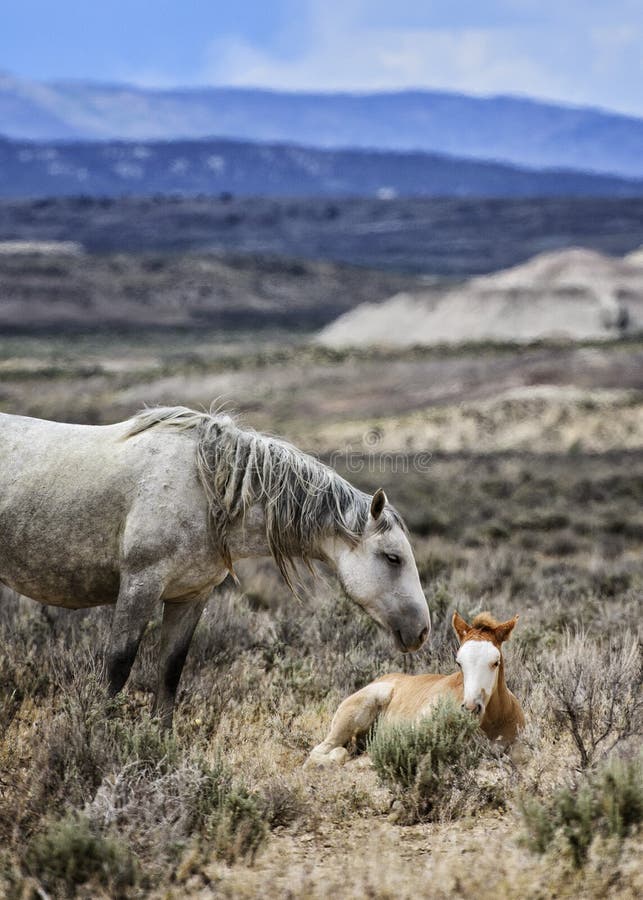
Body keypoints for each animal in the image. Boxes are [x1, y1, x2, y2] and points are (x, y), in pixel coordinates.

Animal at [2, 408, 432, 724]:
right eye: (392, 557)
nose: (423, 631)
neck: (207, 489)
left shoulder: (191, 596)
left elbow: (170, 672)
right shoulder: (140, 585)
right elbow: (118, 667)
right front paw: (98, 738)